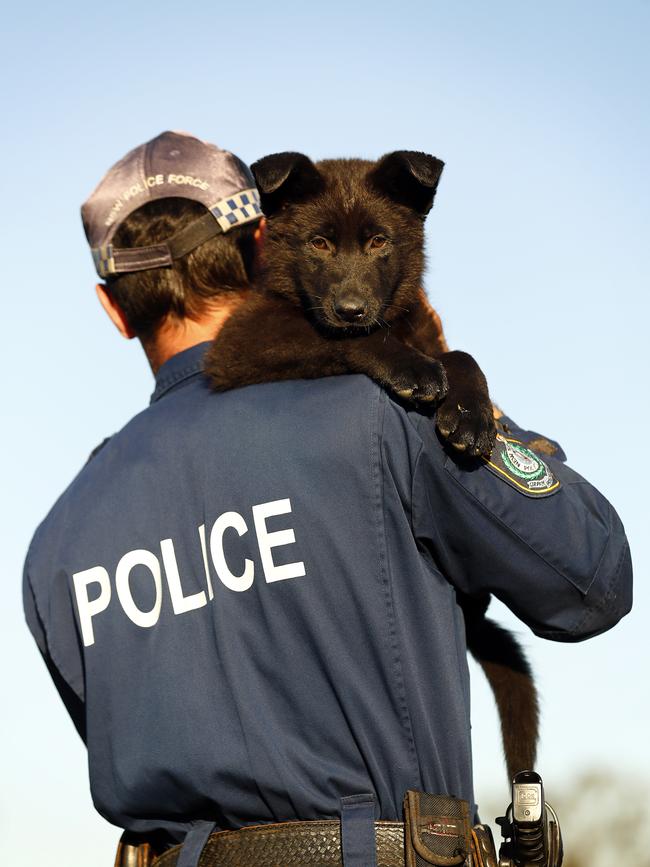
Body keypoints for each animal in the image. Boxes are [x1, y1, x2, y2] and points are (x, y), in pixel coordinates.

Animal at [204, 151, 536, 780]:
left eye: (380, 241)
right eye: (319, 243)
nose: (353, 308)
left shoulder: (423, 325)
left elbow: (460, 355)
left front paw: (472, 414)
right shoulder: (245, 343)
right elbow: (330, 335)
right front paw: (409, 367)